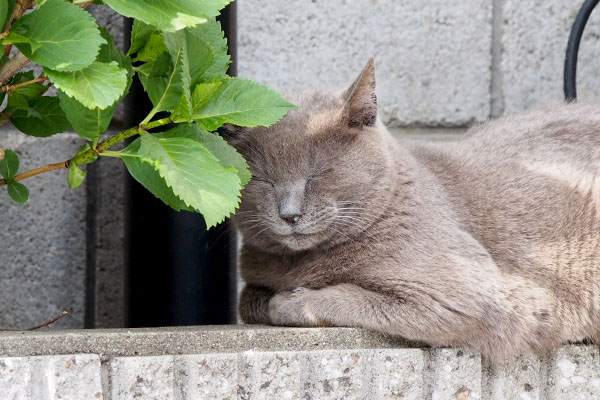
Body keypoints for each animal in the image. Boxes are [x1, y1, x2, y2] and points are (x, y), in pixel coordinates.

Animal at [226, 58, 600, 360]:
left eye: (320, 172)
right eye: (263, 180)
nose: (289, 213)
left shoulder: (468, 294)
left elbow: (352, 298)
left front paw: (289, 302)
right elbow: (248, 299)